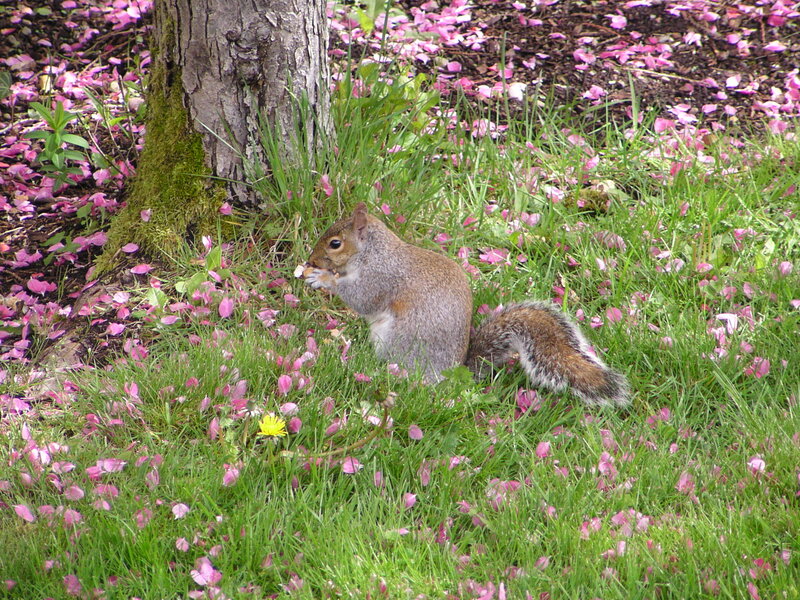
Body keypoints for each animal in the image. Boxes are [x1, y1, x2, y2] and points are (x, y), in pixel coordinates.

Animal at [299, 203, 629, 407]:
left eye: (335, 244)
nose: (310, 259)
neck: (373, 253)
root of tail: (452, 373)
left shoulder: (381, 278)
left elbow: (362, 298)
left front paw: (323, 279)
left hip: (398, 341)